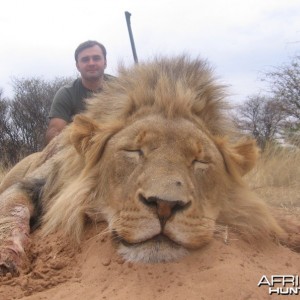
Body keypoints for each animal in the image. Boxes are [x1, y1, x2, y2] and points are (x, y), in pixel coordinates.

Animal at [0, 54, 292, 276]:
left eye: (199, 161)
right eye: (134, 151)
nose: (165, 205)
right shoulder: (34, 183)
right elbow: (11, 208)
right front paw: (6, 256)